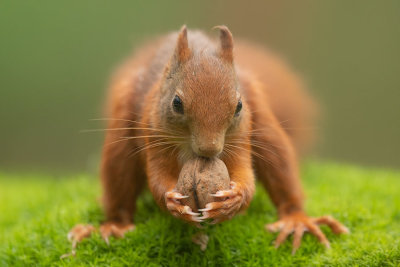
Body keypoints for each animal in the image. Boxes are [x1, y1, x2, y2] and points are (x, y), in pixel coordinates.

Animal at [70, 24, 348, 253]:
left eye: (238, 105)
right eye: (176, 103)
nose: (209, 150)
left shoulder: (239, 137)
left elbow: (246, 176)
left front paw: (234, 200)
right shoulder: (154, 134)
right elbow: (158, 178)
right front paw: (172, 202)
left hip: (267, 132)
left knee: (282, 171)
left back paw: (297, 220)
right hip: (120, 140)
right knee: (119, 183)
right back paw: (113, 226)